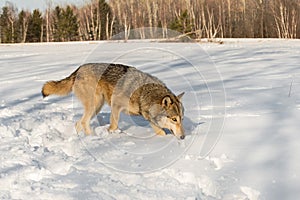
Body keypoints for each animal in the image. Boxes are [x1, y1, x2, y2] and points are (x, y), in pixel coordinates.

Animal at [41, 63, 184, 140]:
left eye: (181, 119)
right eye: (174, 119)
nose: (183, 137)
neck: (143, 93)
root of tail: (78, 69)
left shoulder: (147, 116)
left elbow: (160, 131)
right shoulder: (116, 104)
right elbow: (114, 125)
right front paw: (110, 133)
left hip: (97, 106)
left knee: (78, 123)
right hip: (95, 104)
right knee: (83, 122)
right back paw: (93, 138)